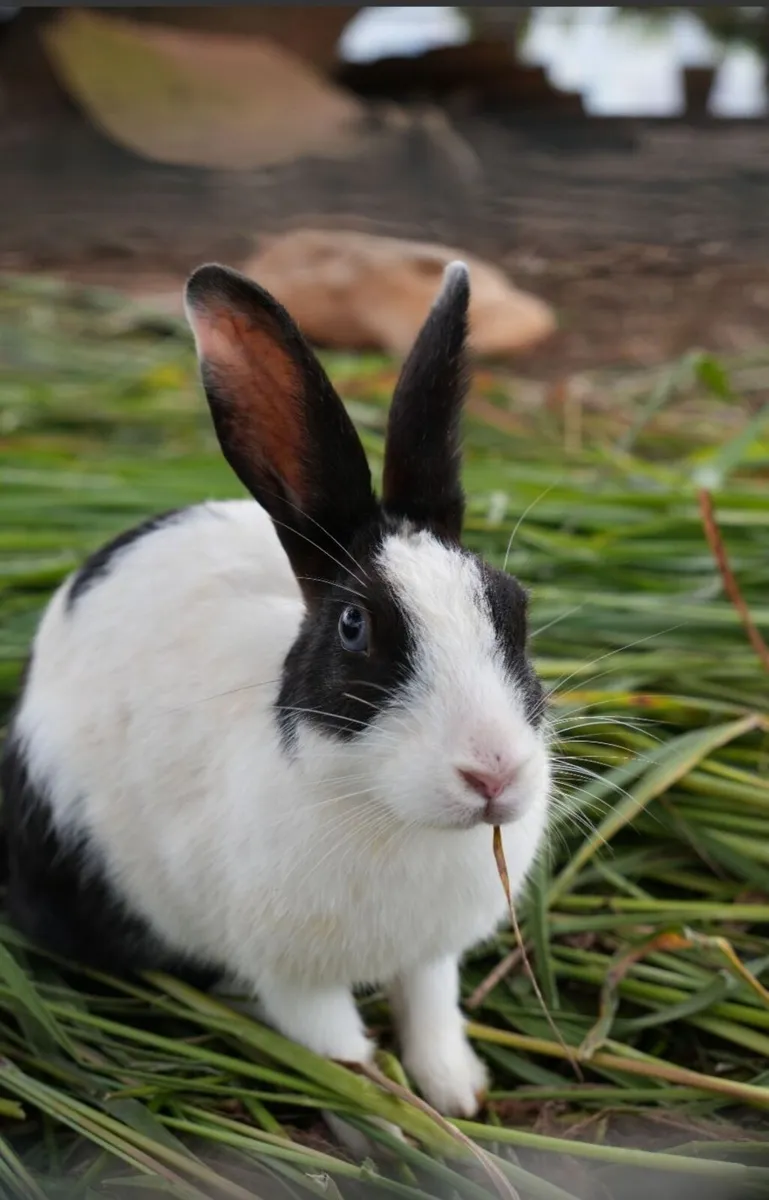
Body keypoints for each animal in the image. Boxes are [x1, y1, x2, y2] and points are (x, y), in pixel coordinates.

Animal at [1, 259, 550, 1122]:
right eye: (355, 627)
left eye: (513, 606)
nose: (492, 773)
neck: (386, 811)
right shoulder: (295, 980)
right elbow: (339, 1051)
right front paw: (394, 1120)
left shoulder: (429, 957)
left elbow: (430, 1013)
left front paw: (456, 1094)